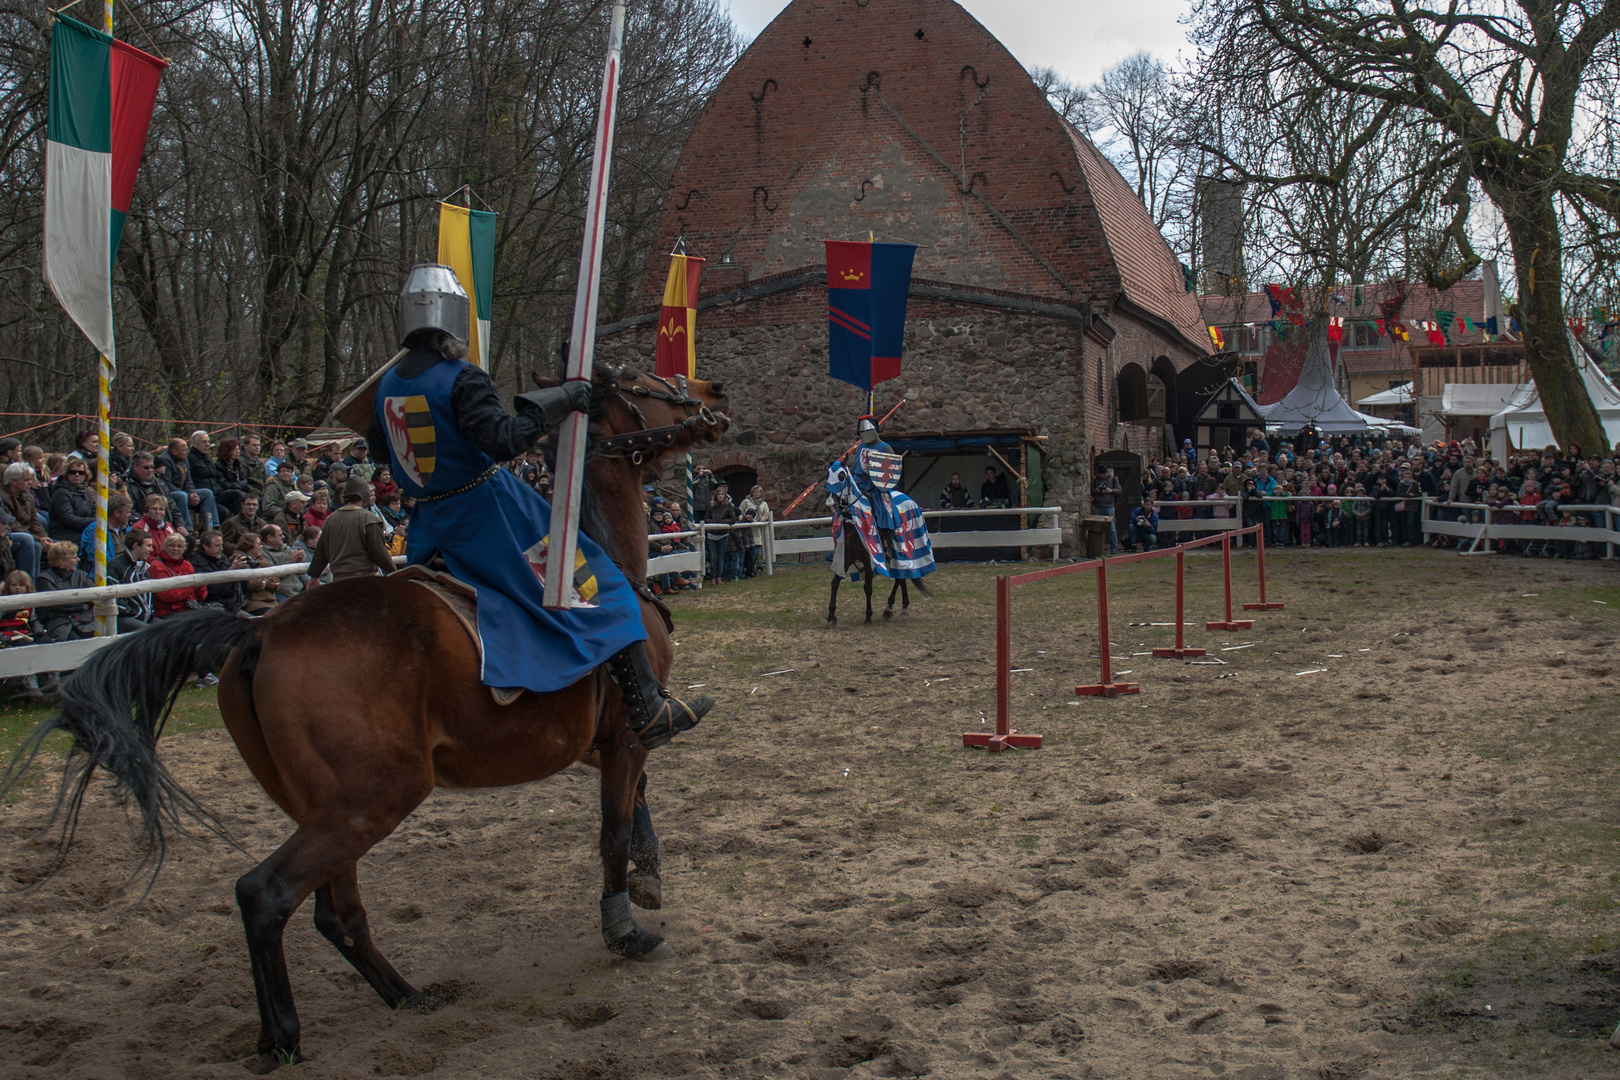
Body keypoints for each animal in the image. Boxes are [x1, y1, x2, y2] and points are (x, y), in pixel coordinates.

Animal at [0, 367, 729, 1068]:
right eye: (647, 384)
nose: (713, 395)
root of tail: (257, 632)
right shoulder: (627, 737)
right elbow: (613, 829)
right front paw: (626, 929)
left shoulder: (611, 745)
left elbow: (638, 806)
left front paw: (649, 876)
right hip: (373, 799)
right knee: (267, 893)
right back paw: (285, 1036)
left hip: (331, 808)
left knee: (336, 912)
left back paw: (408, 997)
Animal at [822, 463, 939, 628]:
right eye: (827, 475)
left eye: (841, 476)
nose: (830, 503)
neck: (853, 521)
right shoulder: (846, 556)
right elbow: (835, 582)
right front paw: (831, 616)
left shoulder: (869, 559)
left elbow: (867, 588)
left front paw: (868, 616)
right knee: (902, 576)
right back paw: (903, 606)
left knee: (899, 578)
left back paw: (888, 608)